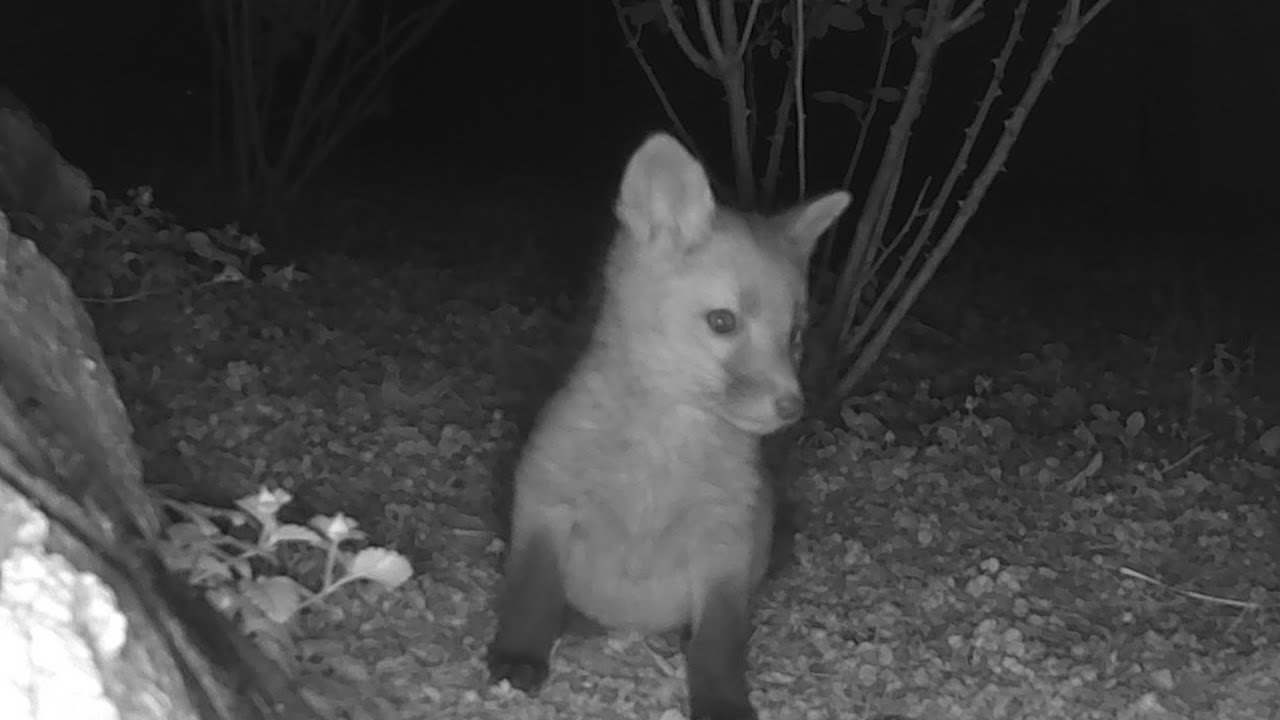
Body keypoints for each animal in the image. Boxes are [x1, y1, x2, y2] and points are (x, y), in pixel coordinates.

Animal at [487, 132, 850, 720]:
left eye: (795, 334)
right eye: (723, 321)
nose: (791, 406)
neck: (656, 471)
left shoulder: (725, 545)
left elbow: (719, 642)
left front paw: (722, 700)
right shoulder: (547, 504)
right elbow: (532, 595)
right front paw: (519, 655)